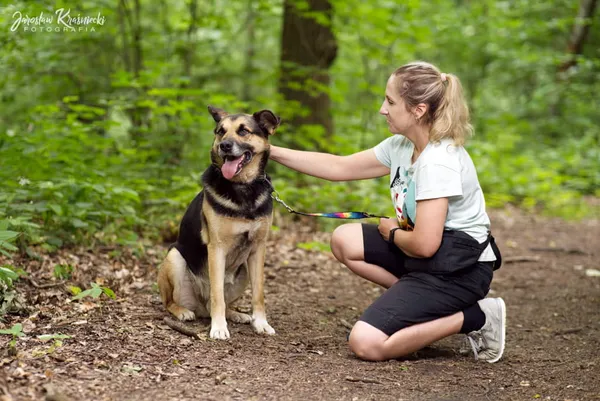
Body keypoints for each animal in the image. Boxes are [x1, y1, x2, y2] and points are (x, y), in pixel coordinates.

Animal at [158, 104, 282, 340]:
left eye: (243, 131)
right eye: (220, 131)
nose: (225, 145)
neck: (243, 188)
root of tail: (200, 307)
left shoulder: (258, 249)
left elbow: (259, 294)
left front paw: (261, 323)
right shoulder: (217, 248)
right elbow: (217, 295)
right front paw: (218, 328)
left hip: (243, 269)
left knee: (223, 303)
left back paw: (236, 314)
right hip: (174, 257)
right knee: (171, 302)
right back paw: (182, 311)